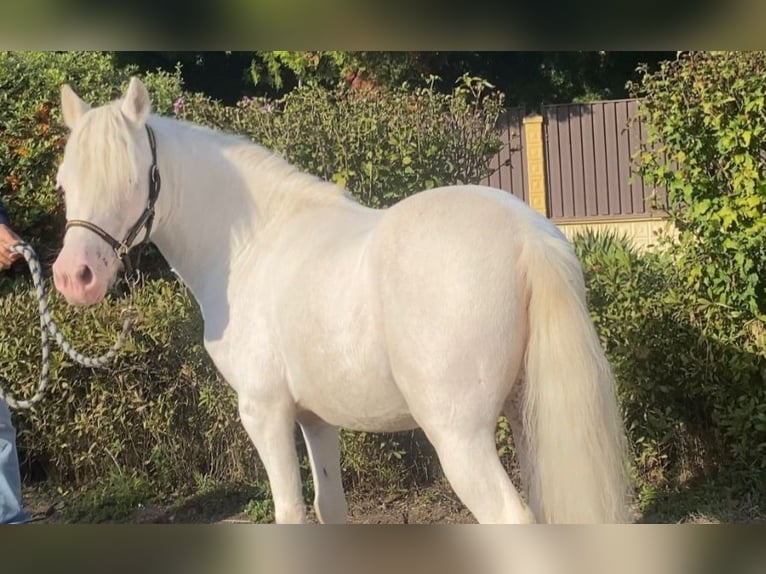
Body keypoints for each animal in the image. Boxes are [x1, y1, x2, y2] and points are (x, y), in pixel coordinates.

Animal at [51, 77, 632, 528]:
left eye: (133, 178)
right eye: (62, 183)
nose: (74, 277)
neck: (251, 244)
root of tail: (526, 236)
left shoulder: (263, 412)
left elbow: (290, 512)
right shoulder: (315, 419)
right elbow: (330, 509)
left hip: (460, 438)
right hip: (527, 416)